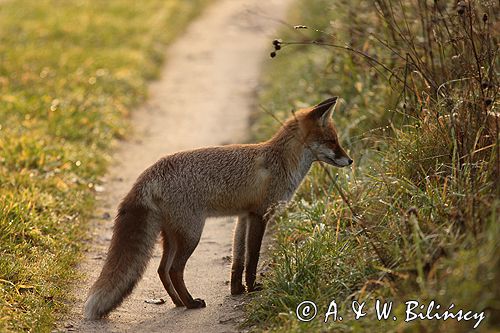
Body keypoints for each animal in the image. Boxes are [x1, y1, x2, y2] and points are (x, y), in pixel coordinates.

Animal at [83, 96, 352, 320]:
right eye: (331, 141)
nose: (349, 160)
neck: (281, 162)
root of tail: (151, 170)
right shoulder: (260, 215)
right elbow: (252, 258)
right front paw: (252, 288)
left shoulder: (243, 216)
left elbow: (238, 259)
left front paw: (237, 290)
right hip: (191, 234)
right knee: (174, 270)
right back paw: (191, 303)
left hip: (172, 235)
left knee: (161, 270)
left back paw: (178, 302)